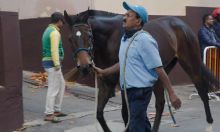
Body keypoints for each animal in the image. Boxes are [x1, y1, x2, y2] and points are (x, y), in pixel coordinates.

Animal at [63, 9, 218, 132]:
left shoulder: (123, 84)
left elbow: (126, 114)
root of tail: (181, 24)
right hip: (160, 72)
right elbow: (99, 113)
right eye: (70, 39)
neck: (110, 39)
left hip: (191, 63)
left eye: (89, 36)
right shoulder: (106, 82)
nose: (85, 66)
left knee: (202, 92)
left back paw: (209, 125)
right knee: (160, 103)